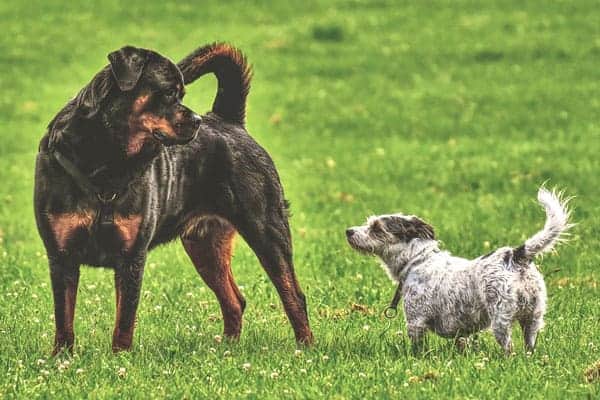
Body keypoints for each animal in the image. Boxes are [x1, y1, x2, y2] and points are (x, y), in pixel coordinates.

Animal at [35, 43, 314, 354]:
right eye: (169, 92)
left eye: (182, 94)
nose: (197, 120)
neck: (106, 161)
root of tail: (229, 120)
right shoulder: (61, 256)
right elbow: (64, 318)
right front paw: (62, 357)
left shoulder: (131, 258)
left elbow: (124, 320)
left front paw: (120, 357)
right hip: (205, 246)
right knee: (234, 300)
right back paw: (227, 348)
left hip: (267, 230)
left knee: (293, 295)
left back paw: (305, 348)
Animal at [344, 188, 568, 354]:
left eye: (376, 228)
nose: (348, 231)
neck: (417, 261)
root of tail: (516, 254)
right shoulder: (461, 331)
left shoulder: (416, 322)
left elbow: (418, 349)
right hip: (533, 319)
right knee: (530, 347)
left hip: (501, 319)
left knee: (509, 348)